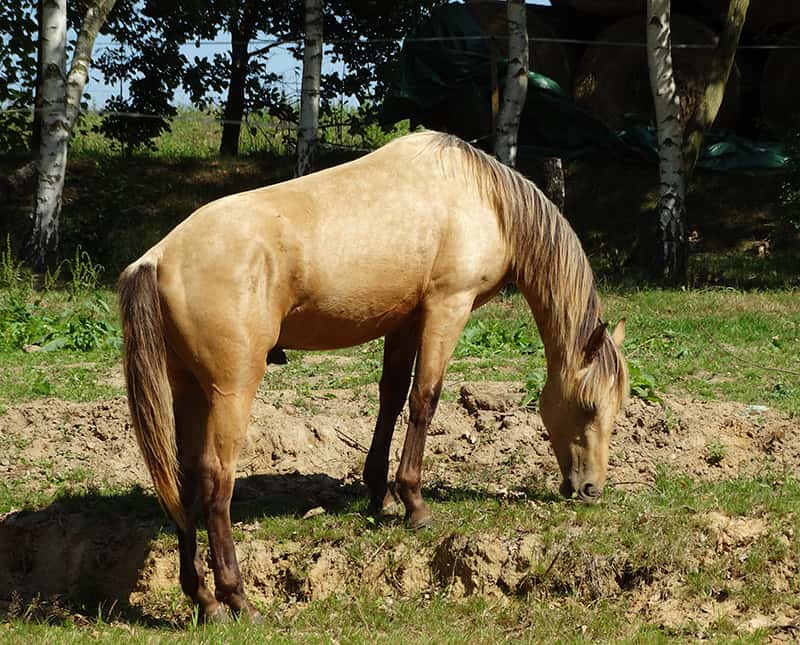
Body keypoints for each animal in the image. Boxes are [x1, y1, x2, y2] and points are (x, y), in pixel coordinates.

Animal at [119, 131, 628, 621]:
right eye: (588, 407)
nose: (591, 489)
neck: (484, 198)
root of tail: (157, 259)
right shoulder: (447, 308)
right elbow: (425, 398)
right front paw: (414, 504)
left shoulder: (404, 322)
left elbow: (392, 397)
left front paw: (380, 496)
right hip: (231, 392)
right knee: (215, 484)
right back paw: (238, 599)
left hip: (188, 389)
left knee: (184, 481)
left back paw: (205, 602)